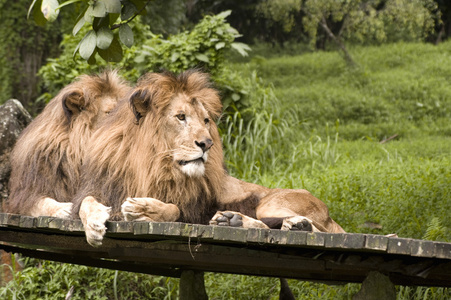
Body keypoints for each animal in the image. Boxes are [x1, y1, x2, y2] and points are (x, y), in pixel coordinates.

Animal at [72, 69, 344, 247]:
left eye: (205, 121)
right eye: (181, 117)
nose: (207, 144)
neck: (154, 165)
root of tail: (328, 212)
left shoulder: (195, 213)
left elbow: (173, 209)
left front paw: (146, 209)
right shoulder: (102, 188)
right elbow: (85, 202)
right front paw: (94, 224)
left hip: (271, 203)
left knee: (319, 230)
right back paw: (234, 221)